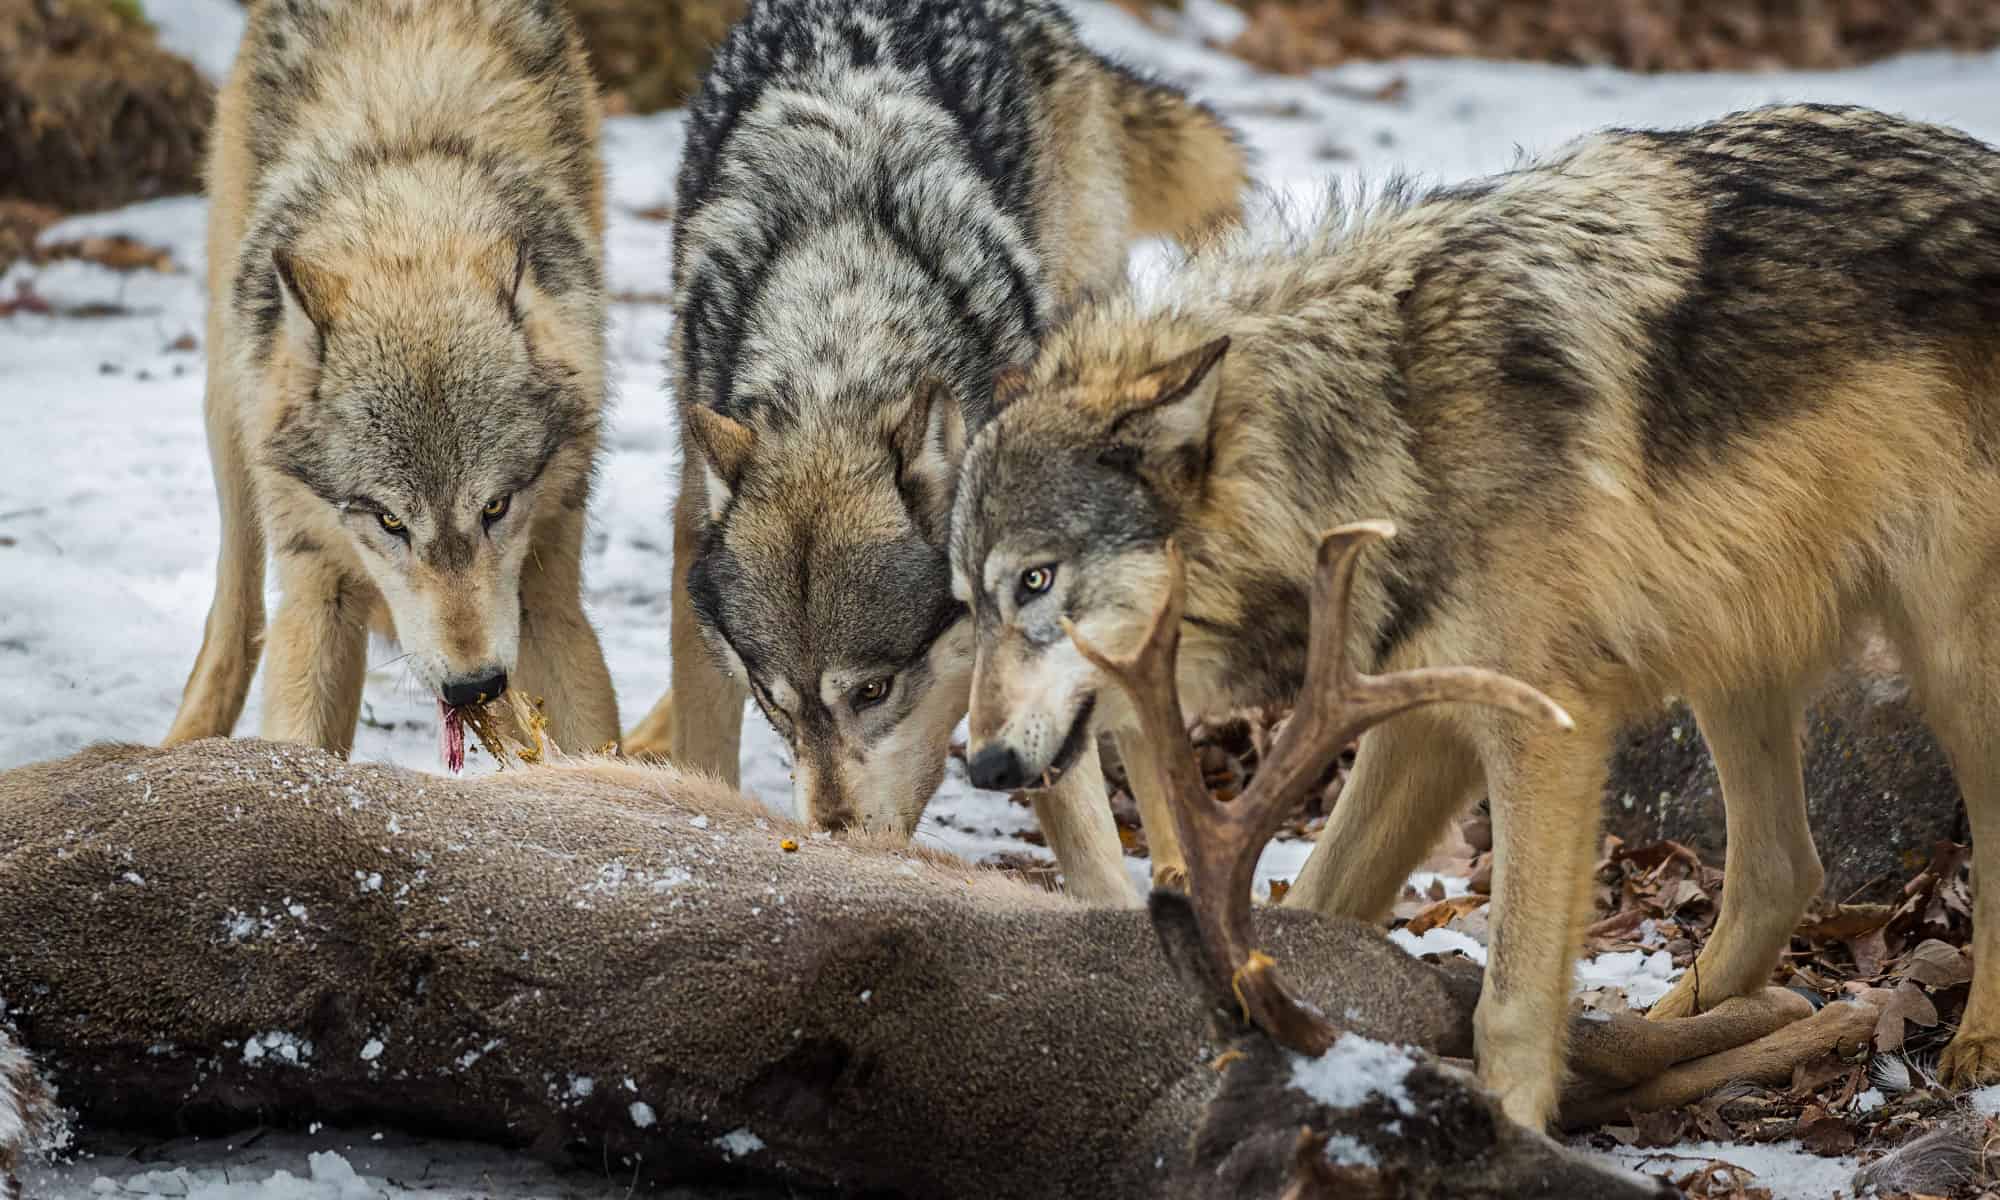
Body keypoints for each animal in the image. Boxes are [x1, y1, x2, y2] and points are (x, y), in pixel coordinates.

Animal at [164, 0, 616, 760]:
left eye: (496, 507)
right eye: (389, 520)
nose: (474, 687)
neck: (407, 229)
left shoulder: (550, 593)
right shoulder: (317, 592)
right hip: (229, 416)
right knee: (234, 605)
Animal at [944, 108, 2000, 1128]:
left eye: (1035, 581)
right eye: (971, 603)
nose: (983, 765)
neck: (1378, 435)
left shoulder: (1544, 734)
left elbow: (1513, 1002)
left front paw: (1515, 1126)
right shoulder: (1421, 725)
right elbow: (1320, 907)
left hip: (1950, 665)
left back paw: (1976, 1047)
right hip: (1730, 656)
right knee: (1783, 871)